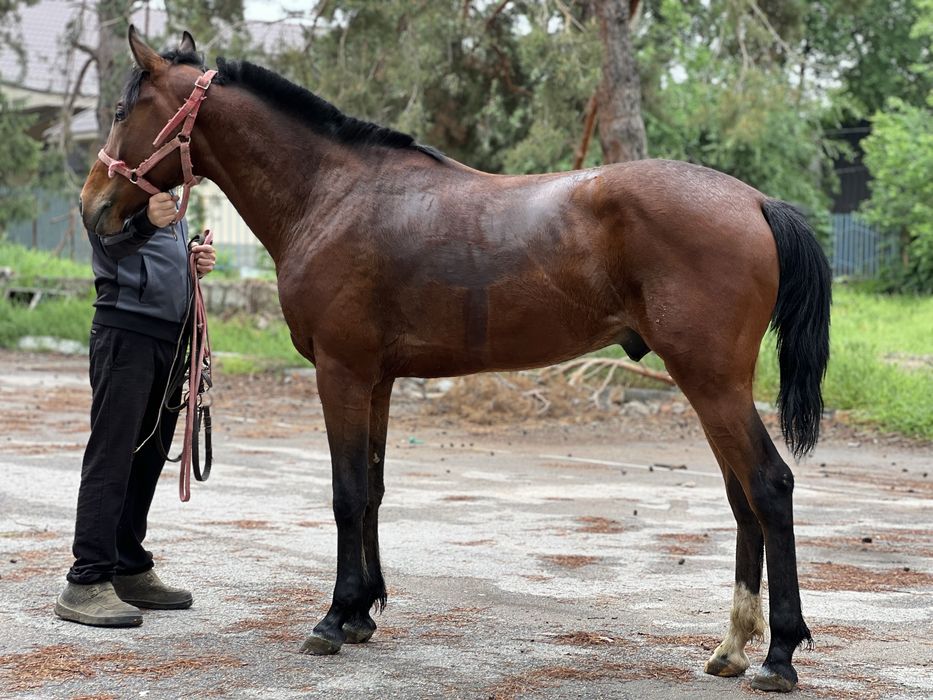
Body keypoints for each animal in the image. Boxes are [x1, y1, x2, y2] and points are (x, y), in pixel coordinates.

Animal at [80, 27, 831, 693]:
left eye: (120, 111)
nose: (93, 208)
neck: (329, 194)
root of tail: (754, 200)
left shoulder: (341, 373)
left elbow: (345, 493)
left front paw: (332, 619)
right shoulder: (376, 380)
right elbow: (373, 489)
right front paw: (362, 613)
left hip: (711, 383)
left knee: (769, 488)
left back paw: (779, 656)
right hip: (711, 387)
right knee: (741, 498)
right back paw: (732, 647)